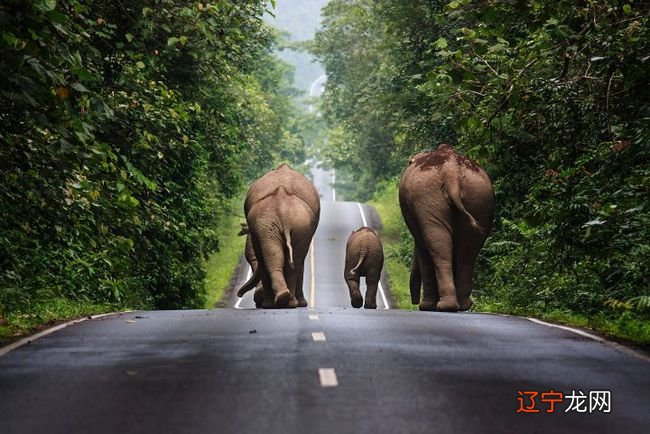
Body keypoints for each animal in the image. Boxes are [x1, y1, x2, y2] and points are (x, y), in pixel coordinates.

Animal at [237, 164, 320, 308]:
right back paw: (283, 300)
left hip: (283, 224)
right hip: (281, 224)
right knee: (291, 259)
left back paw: (278, 302)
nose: (239, 294)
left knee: (285, 258)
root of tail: (282, 209)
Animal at [398, 145, 494, 312]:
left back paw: (443, 306)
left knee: (439, 247)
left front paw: (426, 306)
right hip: (477, 198)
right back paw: (461, 306)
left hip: (431, 197)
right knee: (467, 252)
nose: (414, 302)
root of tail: (451, 172)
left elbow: (422, 247)